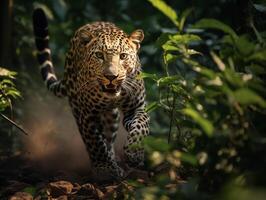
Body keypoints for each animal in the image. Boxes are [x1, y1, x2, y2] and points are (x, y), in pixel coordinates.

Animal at [32, 7, 150, 178]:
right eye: (99, 55)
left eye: (123, 56)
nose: (111, 76)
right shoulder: (86, 114)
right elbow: (95, 142)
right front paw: (104, 169)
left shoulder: (136, 106)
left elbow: (142, 124)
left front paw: (135, 154)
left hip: (111, 118)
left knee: (109, 137)